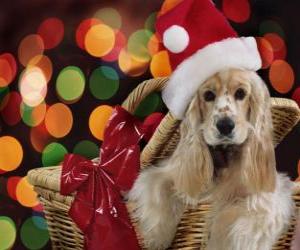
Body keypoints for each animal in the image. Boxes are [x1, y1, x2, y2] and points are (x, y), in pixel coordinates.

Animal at [128, 69, 292, 250]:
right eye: (208, 95)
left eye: (241, 93)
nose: (225, 126)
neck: (224, 156)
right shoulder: (171, 173)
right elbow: (158, 187)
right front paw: (157, 237)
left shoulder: (269, 193)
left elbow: (248, 212)